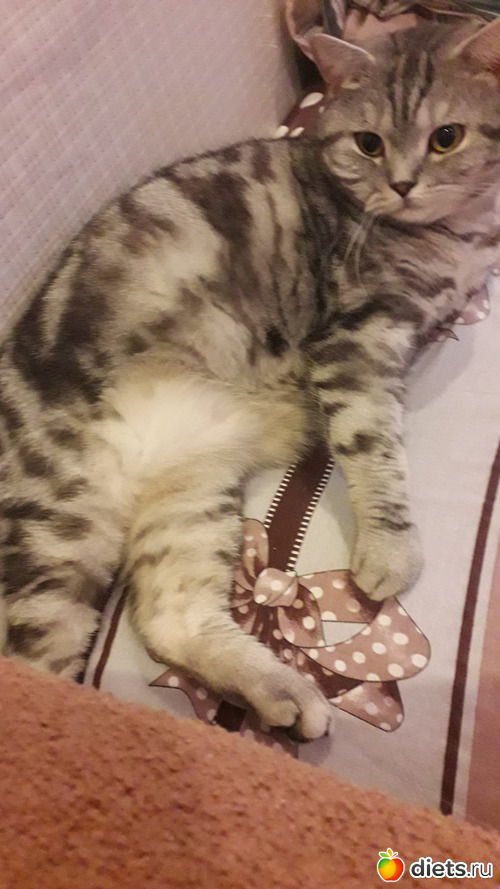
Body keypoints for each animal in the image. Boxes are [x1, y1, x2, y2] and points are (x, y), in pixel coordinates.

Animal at [0, 17, 499, 740]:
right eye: (369, 143)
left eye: (446, 137)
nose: (404, 183)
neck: (454, 237)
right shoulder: (355, 338)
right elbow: (374, 448)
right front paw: (391, 548)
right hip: (54, 527)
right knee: (32, 670)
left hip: (188, 500)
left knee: (171, 617)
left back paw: (281, 691)